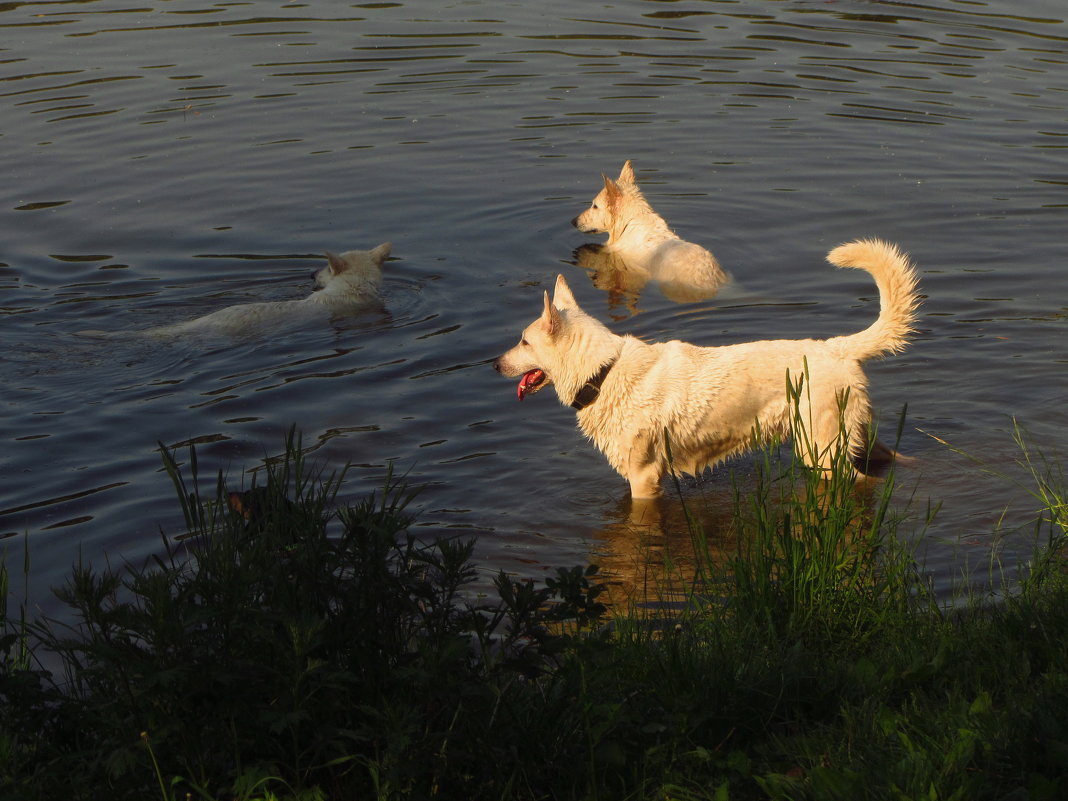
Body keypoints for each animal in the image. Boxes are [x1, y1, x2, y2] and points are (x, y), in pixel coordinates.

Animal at [491, 238, 918, 499]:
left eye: (524, 342)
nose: (494, 364)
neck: (603, 372)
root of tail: (838, 348)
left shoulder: (644, 479)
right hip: (855, 438)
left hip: (822, 452)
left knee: (859, 481)